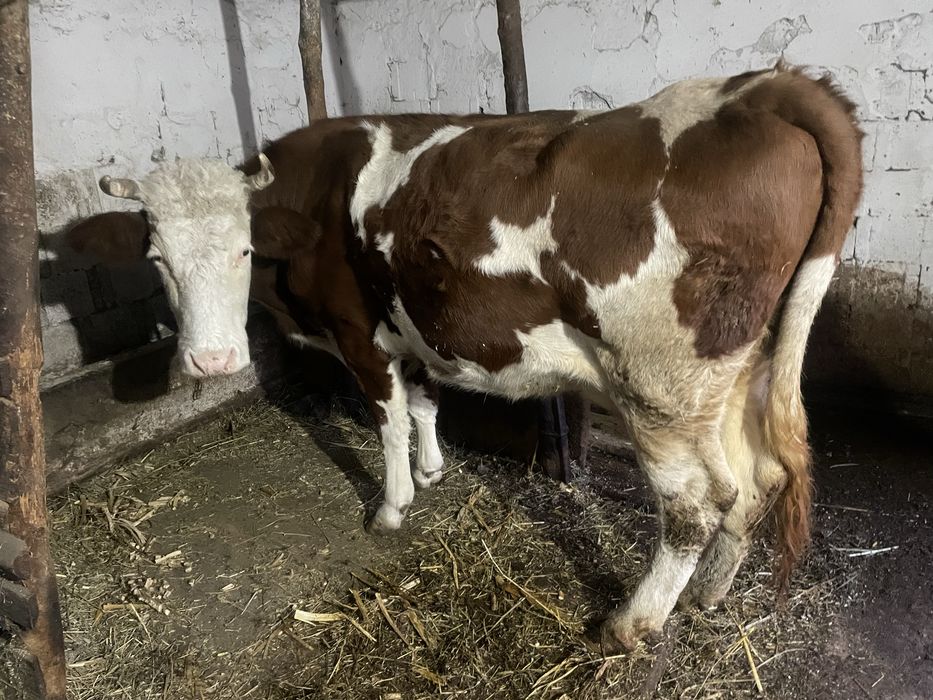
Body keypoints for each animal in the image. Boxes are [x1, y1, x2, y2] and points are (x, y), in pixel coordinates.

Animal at [69, 62, 863, 652]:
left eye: (243, 250)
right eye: (158, 258)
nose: (210, 362)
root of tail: (749, 88)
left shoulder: (359, 332)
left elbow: (387, 419)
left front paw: (392, 504)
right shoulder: (414, 324)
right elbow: (424, 402)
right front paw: (432, 469)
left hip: (657, 384)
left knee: (696, 504)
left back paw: (630, 623)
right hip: (734, 369)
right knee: (755, 481)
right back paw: (706, 595)